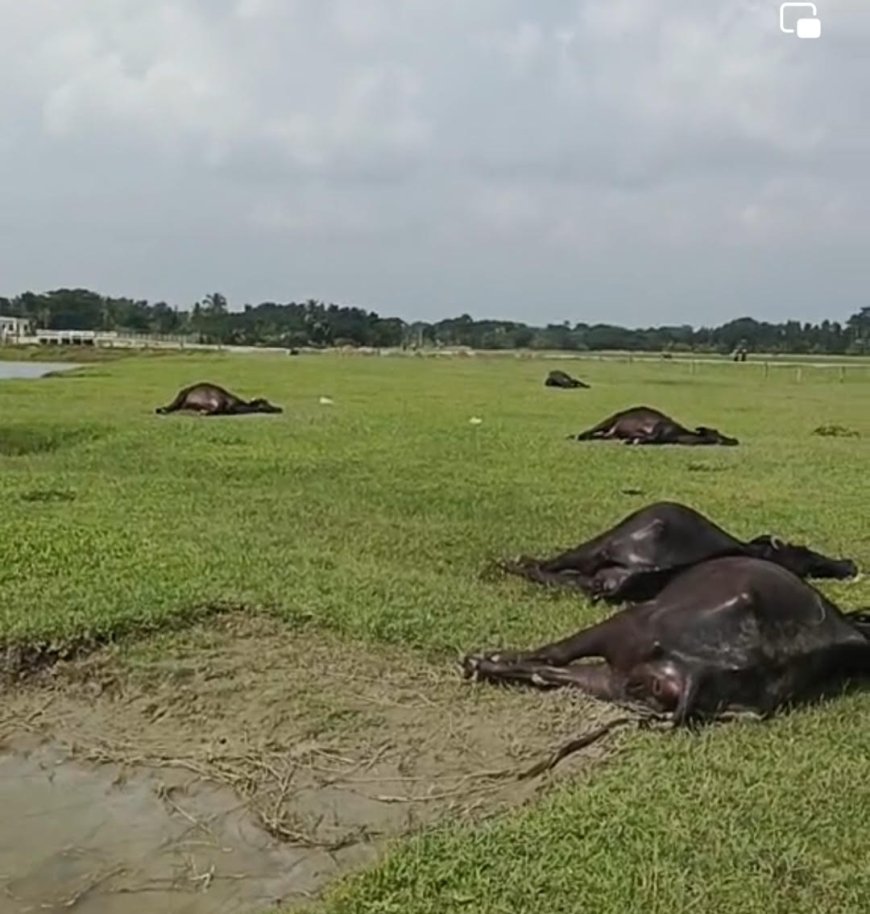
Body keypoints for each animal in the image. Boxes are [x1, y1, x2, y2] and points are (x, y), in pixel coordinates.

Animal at [153, 380, 282, 416]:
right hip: (181, 395)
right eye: (265, 403)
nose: (279, 408)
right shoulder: (218, 400)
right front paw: (204, 412)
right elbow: (216, 409)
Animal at [466, 556, 870, 728]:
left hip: (625, 631)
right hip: (615, 677)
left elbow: (553, 652)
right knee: (551, 671)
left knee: (552, 658)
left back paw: (480, 661)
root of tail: (699, 673)